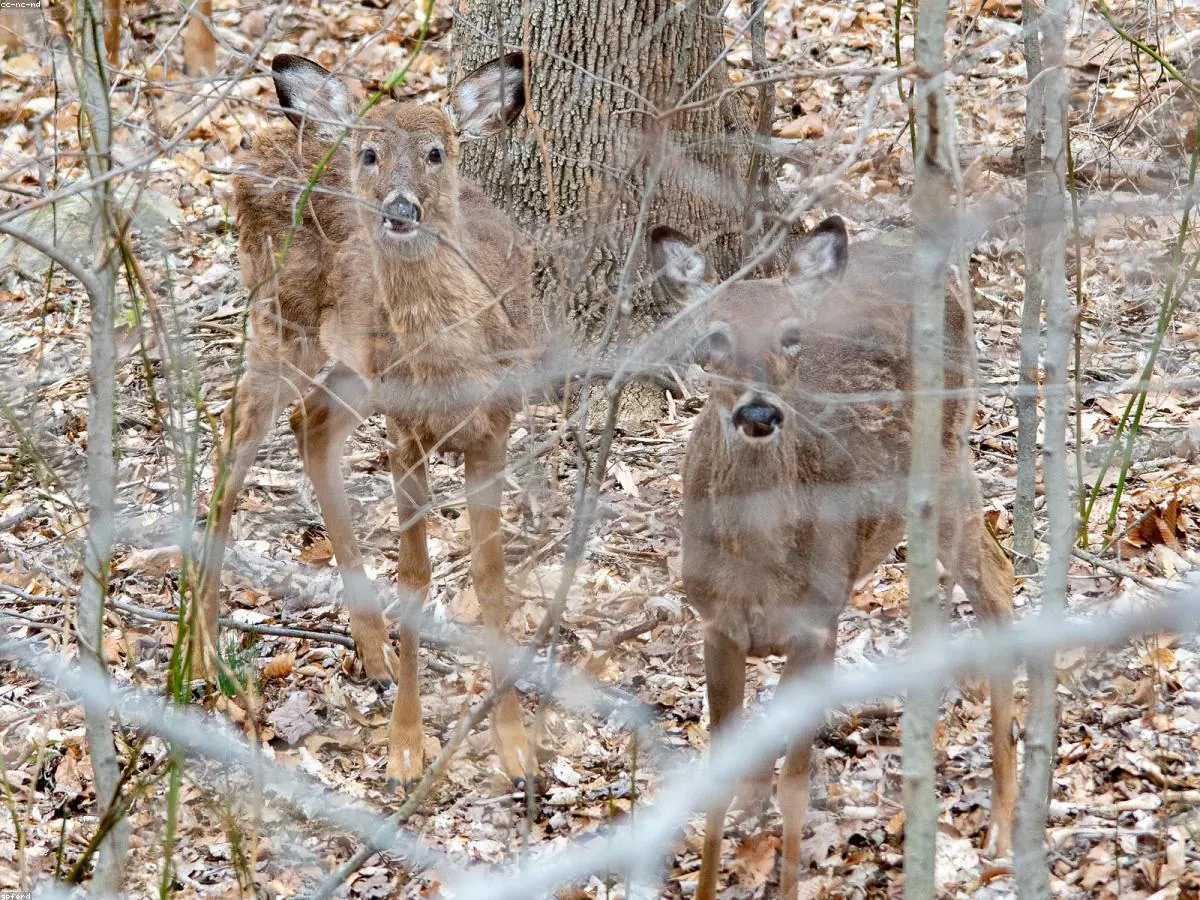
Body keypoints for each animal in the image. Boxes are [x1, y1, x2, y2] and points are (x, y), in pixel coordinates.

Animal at [196, 51, 535, 785]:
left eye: (438, 151)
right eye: (371, 154)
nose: (400, 209)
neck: (451, 373)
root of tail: (257, 149)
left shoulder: (496, 426)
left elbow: (491, 575)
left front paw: (518, 748)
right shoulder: (405, 430)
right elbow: (415, 576)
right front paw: (406, 749)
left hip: (350, 364)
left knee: (311, 426)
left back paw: (373, 651)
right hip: (279, 325)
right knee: (231, 440)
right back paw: (204, 654)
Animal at [648, 217, 1017, 899]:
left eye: (792, 335)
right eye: (713, 335)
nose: (759, 412)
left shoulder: (820, 622)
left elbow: (797, 788)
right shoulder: (716, 623)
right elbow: (720, 775)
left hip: (949, 457)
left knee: (998, 581)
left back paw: (1003, 824)